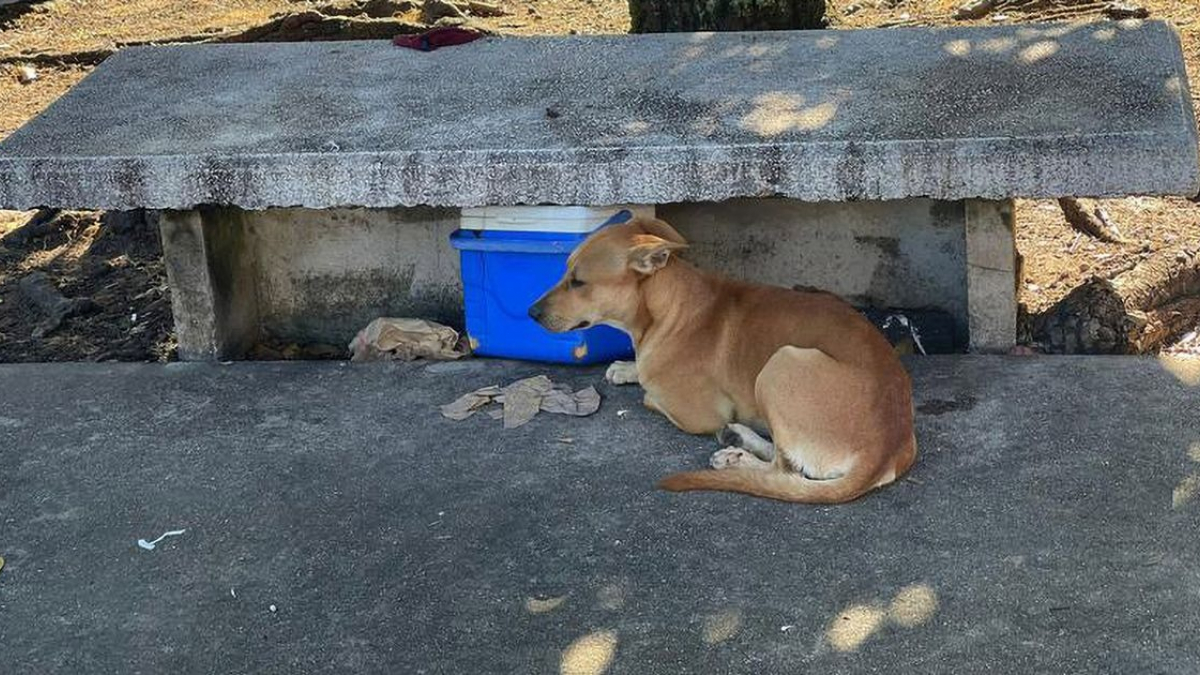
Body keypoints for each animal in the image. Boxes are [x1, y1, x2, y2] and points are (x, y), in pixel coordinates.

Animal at [530, 214, 912, 499]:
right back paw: (739, 439)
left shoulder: (699, 415)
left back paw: (736, 456)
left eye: (578, 282)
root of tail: (886, 450)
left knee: (784, 471)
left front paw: (640, 378)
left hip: (781, 363)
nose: (531, 313)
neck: (671, 309)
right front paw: (626, 368)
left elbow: (650, 396)